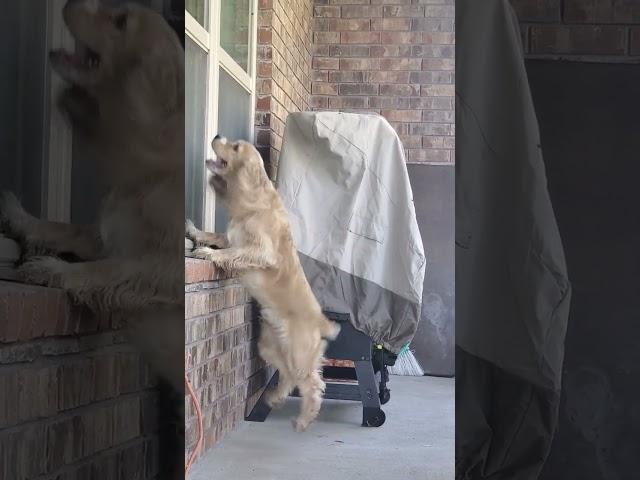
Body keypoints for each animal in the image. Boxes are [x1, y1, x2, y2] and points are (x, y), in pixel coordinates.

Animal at [186, 135, 340, 432]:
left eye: (235, 147)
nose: (217, 136)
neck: (254, 202)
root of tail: (320, 321)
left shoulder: (260, 251)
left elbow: (230, 252)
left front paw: (207, 253)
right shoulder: (231, 236)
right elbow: (217, 236)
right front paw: (195, 232)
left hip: (298, 353)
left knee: (313, 384)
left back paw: (304, 419)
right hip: (269, 347)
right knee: (289, 376)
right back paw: (276, 397)